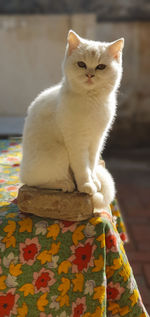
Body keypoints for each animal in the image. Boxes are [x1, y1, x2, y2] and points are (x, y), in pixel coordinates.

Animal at [19, 29, 123, 207]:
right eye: (81, 64)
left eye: (101, 67)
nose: (90, 75)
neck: (91, 101)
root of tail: (22, 169)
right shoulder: (77, 141)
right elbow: (82, 167)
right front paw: (86, 185)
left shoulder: (97, 139)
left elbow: (92, 164)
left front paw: (94, 181)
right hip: (58, 153)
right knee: (35, 181)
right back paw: (66, 184)